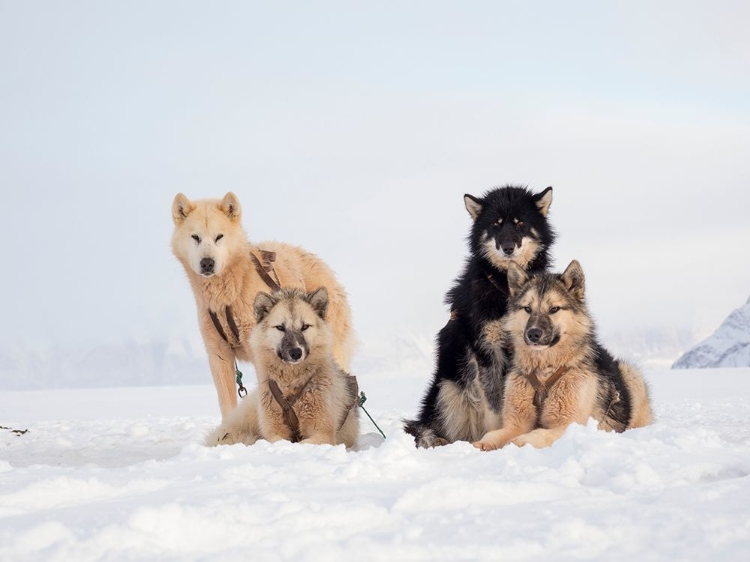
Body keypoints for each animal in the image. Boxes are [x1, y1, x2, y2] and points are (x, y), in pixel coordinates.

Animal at [173, 192, 356, 416]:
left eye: (219, 236)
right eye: (195, 237)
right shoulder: (218, 355)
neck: (229, 294)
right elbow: (227, 406)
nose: (207, 263)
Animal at [204, 288, 360, 446]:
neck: (291, 384)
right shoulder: (273, 432)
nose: (296, 352)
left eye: (305, 327)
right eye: (280, 327)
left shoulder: (323, 434)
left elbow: (301, 444)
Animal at [406, 186, 560, 444]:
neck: (505, 288)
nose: (508, 247)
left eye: (520, 223)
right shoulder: (487, 351)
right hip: (448, 387)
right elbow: (496, 408)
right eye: (496, 225)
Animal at [476, 260, 656, 448]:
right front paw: (481, 444)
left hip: (632, 375)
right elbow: (492, 435)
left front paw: (519, 442)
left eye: (554, 309)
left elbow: (536, 434)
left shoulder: (566, 425)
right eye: (527, 309)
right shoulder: (516, 423)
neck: (544, 371)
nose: (533, 333)